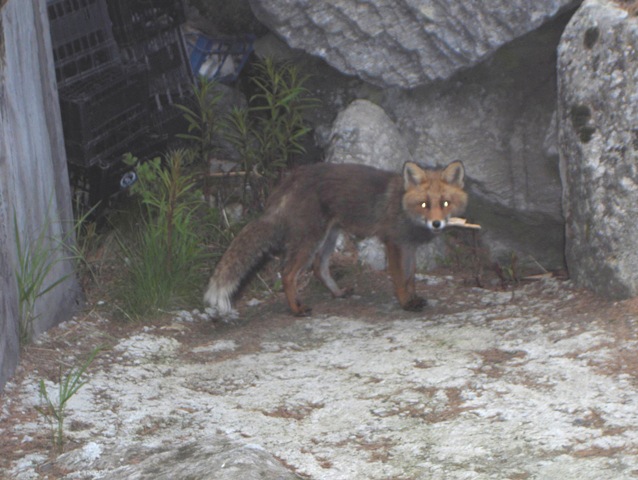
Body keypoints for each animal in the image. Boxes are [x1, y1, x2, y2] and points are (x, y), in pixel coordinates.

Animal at [206, 161, 470, 316]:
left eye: (445, 203)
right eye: (424, 204)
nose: (436, 224)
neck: (403, 208)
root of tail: (291, 178)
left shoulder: (408, 247)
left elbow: (410, 278)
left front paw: (413, 298)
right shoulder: (394, 243)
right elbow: (399, 279)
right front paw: (406, 303)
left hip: (328, 237)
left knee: (319, 268)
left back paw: (338, 293)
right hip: (311, 239)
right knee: (288, 272)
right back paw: (296, 308)